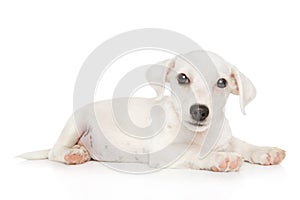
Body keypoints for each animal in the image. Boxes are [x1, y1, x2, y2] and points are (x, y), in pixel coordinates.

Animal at [19, 51, 286, 172]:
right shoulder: (164, 152)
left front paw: (265, 151)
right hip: (76, 121)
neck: (199, 135)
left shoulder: (225, 136)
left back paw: (81, 151)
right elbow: (195, 154)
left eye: (222, 83)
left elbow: (242, 143)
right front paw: (221, 158)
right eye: (182, 78)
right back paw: (71, 154)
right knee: (54, 151)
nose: (200, 111)